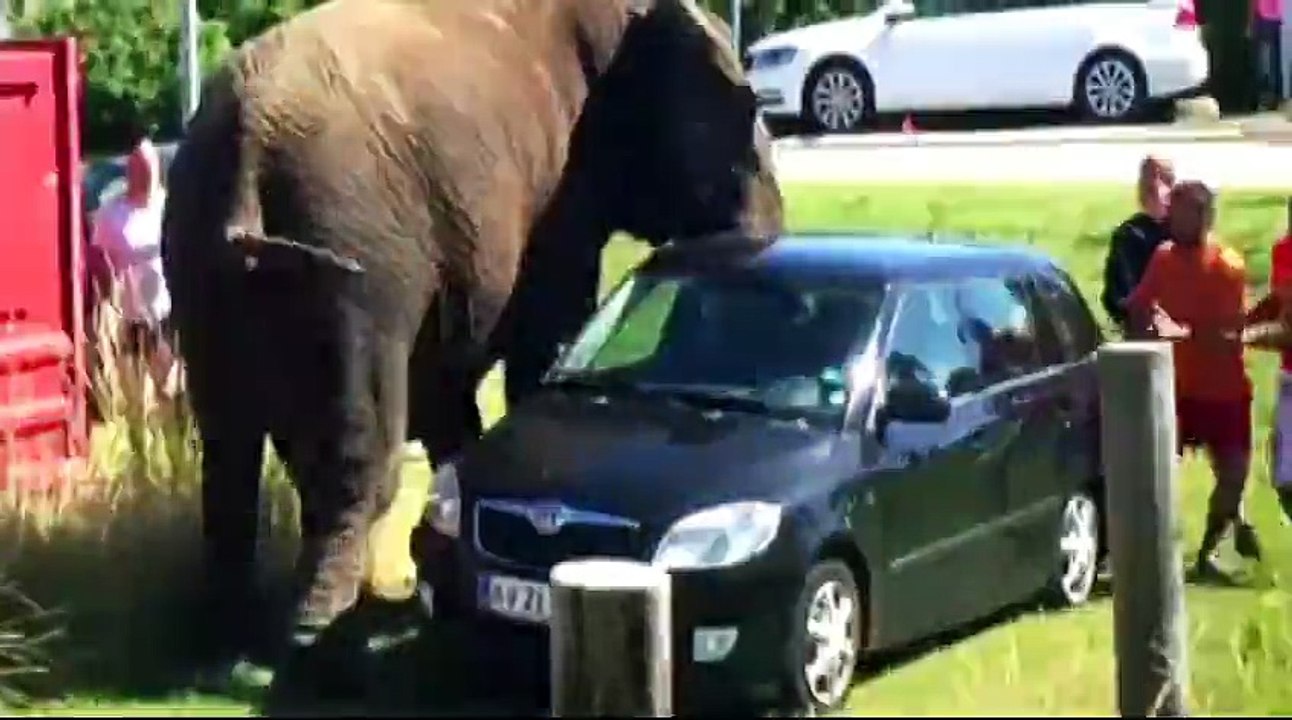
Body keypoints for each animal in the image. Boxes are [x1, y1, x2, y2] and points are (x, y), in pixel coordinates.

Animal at [160, 0, 784, 689]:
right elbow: (548, 326)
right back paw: (315, 636)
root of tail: (247, 144)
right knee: (357, 443)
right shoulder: (559, 191)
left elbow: (444, 384)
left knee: (229, 444)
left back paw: (227, 637)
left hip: (199, 257)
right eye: (748, 118)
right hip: (354, 257)